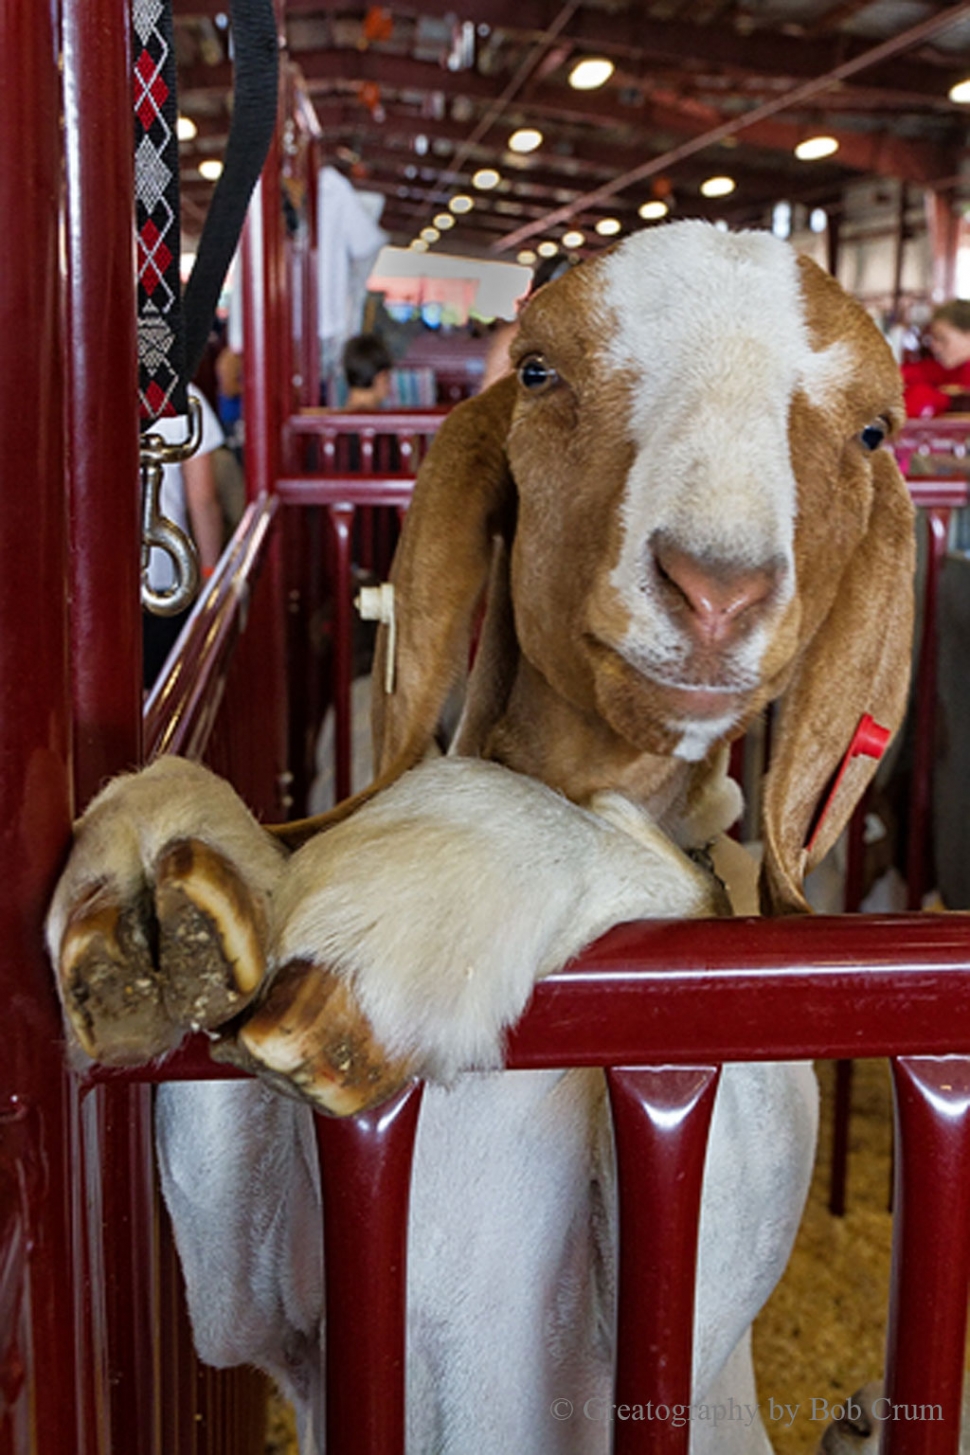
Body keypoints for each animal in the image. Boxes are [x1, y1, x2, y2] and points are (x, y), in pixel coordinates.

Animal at [46, 221, 915, 1453]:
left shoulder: (686, 1295)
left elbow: (676, 876)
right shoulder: (265, 1314)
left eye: (873, 429)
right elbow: (222, 1276)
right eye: (540, 370)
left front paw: (427, 894)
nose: (717, 587)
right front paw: (162, 887)